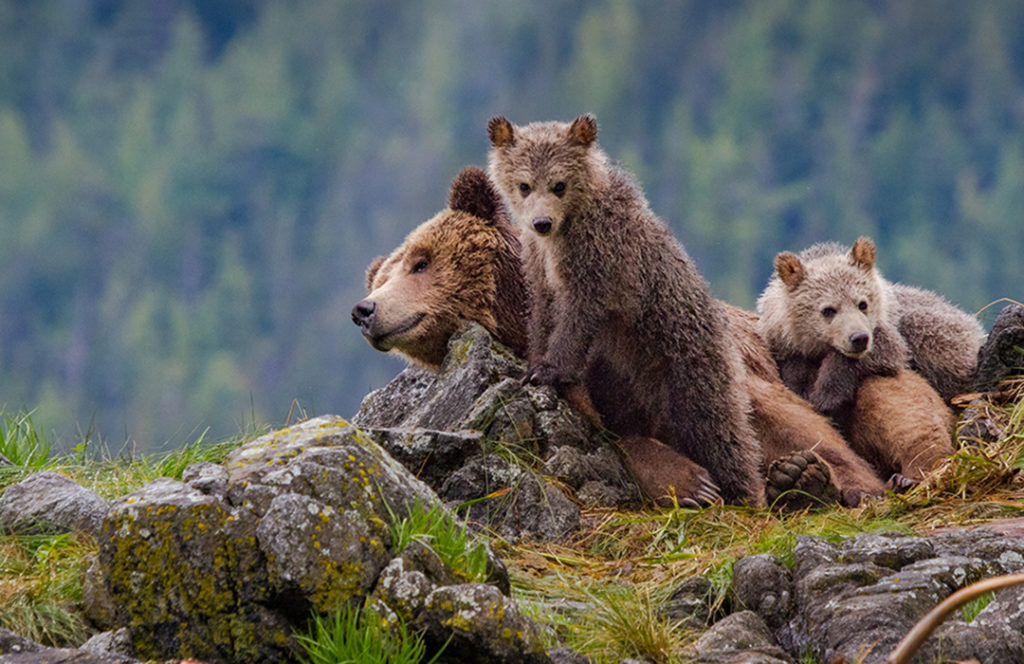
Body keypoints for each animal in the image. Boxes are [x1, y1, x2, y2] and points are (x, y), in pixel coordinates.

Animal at [486, 114, 886, 507]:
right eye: (524, 185)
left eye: (559, 184)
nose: (542, 222)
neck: (565, 232)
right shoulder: (539, 264)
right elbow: (541, 312)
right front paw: (534, 363)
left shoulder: (603, 258)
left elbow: (580, 313)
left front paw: (547, 369)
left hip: (692, 367)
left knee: (732, 432)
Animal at [756, 237, 966, 485]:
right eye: (828, 310)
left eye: (862, 303)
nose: (858, 338)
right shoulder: (781, 343)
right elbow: (794, 375)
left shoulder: (888, 333)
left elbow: (877, 355)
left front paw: (827, 394)